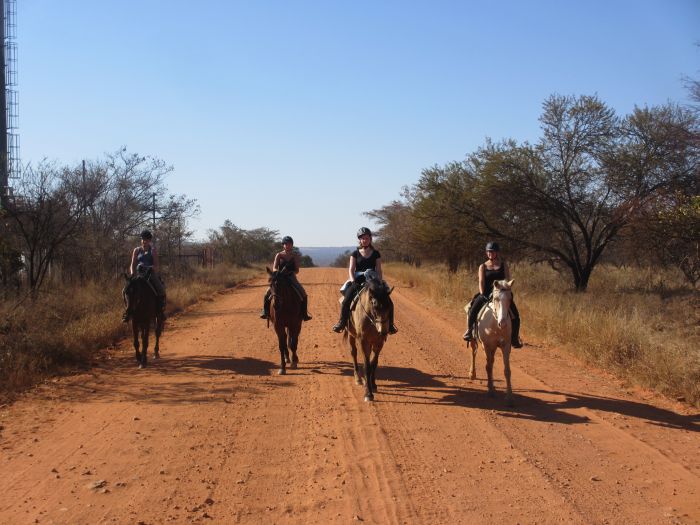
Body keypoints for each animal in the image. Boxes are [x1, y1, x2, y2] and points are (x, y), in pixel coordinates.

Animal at [344, 274, 394, 402]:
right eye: (374, 306)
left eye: (389, 306)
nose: (383, 331)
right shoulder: (363, 341)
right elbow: (366, 366)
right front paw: (368, 393)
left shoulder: (379, 342)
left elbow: (373, 364)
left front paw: (373, 384)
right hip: (351, 335)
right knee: (353, 353)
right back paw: (358, 378)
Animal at [464, 278, 516, 406]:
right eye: (496, 298)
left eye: (510, 298)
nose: (503, 323)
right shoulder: (486, 346)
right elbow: (488, 367)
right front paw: (490, 391)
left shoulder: (505, 346)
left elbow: (507, 370)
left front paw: (509, 397)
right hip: (474, 340)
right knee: (474, 353)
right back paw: (472, 374)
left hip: (494, 347)